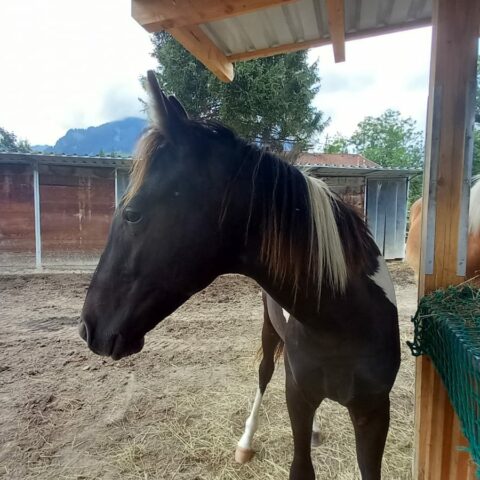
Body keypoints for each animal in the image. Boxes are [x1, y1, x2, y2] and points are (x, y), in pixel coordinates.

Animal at [79, 72, 402, 480]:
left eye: (132, 213)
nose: (88, 327)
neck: (343, 320)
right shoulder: (297, 396)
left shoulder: (373, 413)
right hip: (270, 334)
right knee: (264, 373)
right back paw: (246, 443)